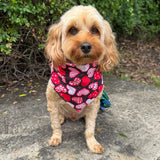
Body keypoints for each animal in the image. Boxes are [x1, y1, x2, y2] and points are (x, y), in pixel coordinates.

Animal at [45, 5, 118, 153]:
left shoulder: (94, 104)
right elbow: (55, 125)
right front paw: (56, 137)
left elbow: (90, 129)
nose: (85, 46)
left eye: (95, 30)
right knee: (60, 115)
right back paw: (61, 117)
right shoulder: (51, 101)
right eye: (72, 30)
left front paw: (92, 143)